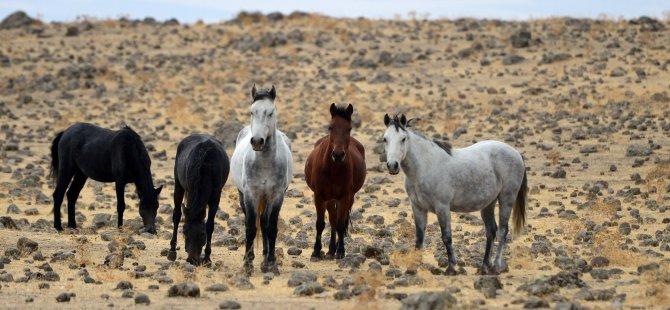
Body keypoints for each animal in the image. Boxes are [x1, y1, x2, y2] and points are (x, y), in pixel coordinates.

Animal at [168, 134, 231, 266]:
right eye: (185, 231)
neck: (205, 166)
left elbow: (210, 225)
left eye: (202, 234)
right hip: (178, 185)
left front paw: (207, 258)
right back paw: (172, 251)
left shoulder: (216, 198)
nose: (192, 260)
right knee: (176, 215)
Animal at [232, 85, 292, 276]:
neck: (265, 162)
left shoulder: (276, 195)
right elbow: (251, 227)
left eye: (271, 112)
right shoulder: (251, 194)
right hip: (243, 195)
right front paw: (247, 265)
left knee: (265, 223)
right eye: (252, 111)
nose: (257, 141)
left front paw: (271, 264)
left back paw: (265, 258)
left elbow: (271, 228)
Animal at [306, 103, 368, 260]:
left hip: (347, 198)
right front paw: (316, 251)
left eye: (349, 128)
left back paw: (334, 249)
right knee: (332, 219)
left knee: (339, 220)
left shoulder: (345, 197)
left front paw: (341, 251)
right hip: (329, 199)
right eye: (330, 127)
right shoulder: (319, 196)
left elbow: (340, 224)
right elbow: (320, 223)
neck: (333, 169)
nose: (338, 155)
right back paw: (330, 249)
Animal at [386, 114, 528, 274]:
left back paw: (496, 266)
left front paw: (451, 267)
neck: (425, 166)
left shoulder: (442, 207)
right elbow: (419, 238)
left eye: (403, 139)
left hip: (506, 199)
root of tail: (516, 153)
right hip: (488, 204)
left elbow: (446, 237)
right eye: (385, 139)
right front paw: (413, 267)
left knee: (503, 231)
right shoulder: (418, 207)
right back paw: (484, 266)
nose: (392, 166)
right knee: (491, 231)